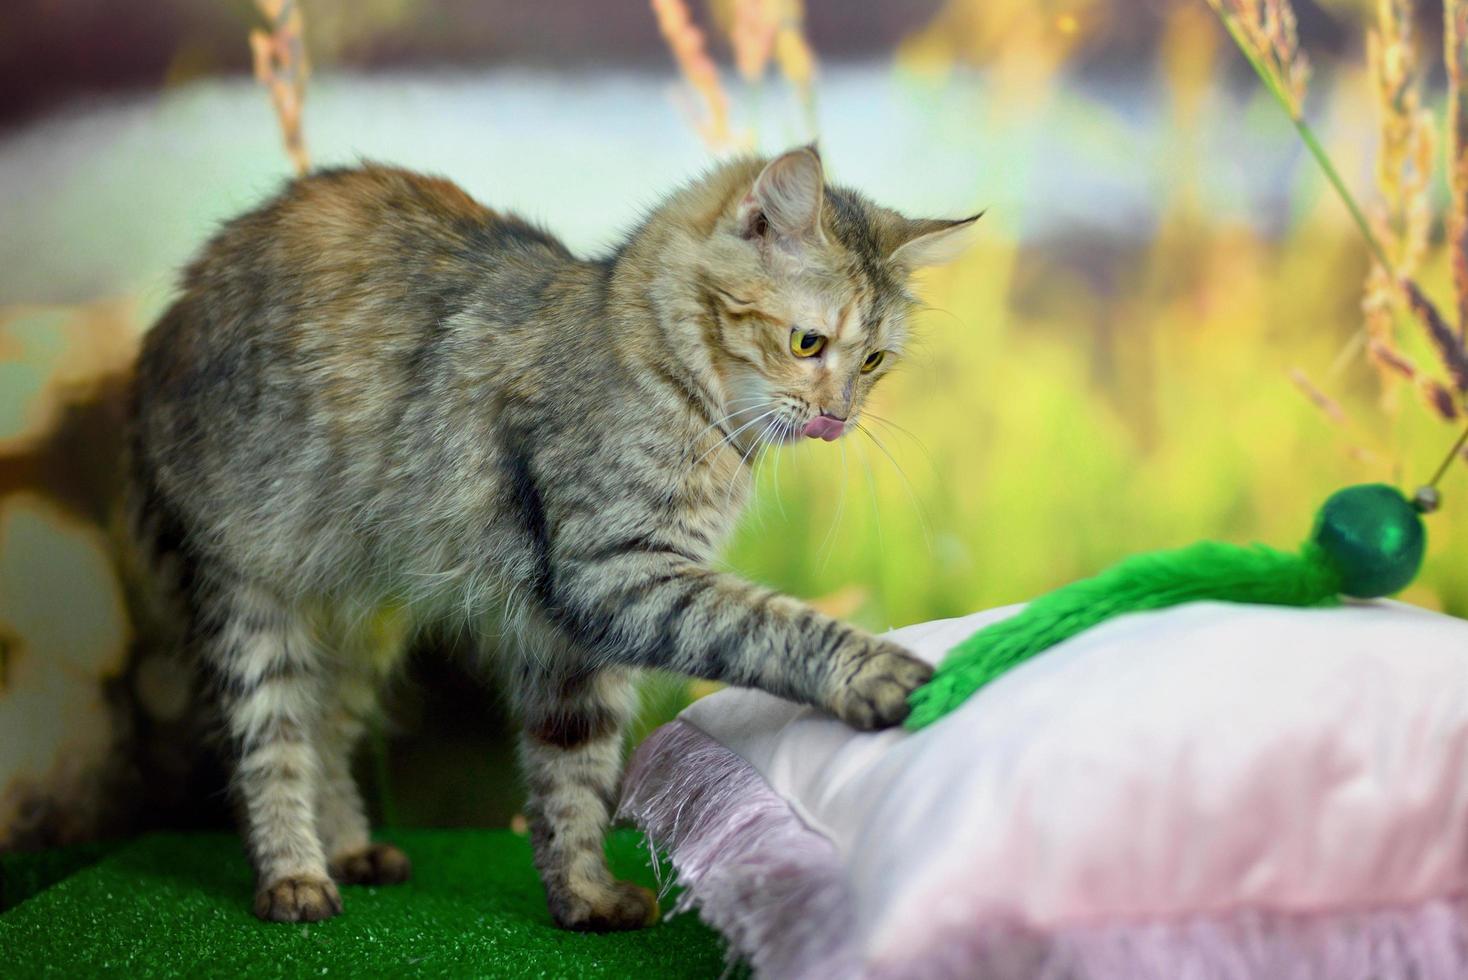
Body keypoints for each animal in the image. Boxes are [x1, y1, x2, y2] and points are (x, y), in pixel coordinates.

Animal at [126, 145, 974, 927]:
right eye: (807, 344)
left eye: (873, 360)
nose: (839, 416)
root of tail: (171, 313)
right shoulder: (612, 574)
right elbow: (770, 625)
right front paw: (873, 672)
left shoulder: (575, 644)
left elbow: (574, 775)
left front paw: (584, 896)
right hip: (250, 587)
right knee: (271, 743)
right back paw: (296, 876)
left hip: (360, 623)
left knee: (327, 733)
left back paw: (349, 848)